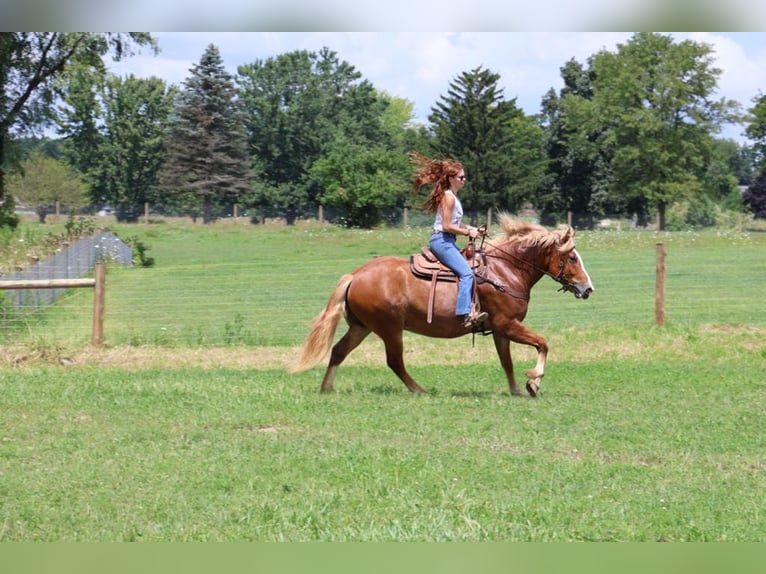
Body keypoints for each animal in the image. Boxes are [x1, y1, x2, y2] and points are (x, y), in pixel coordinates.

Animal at [290, 213, 594, 397]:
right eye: (573, 258)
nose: (588, 288)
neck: (505, 271)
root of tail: (355, 275)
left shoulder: (500, 330)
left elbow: (506, 362)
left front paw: (518, 389)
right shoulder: (507, 324)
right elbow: (543, 344)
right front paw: (533, 380)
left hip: (361, 327)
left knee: (339, 351)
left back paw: (326, 388)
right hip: (389, 328)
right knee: (394, 361)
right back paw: (419, 391)